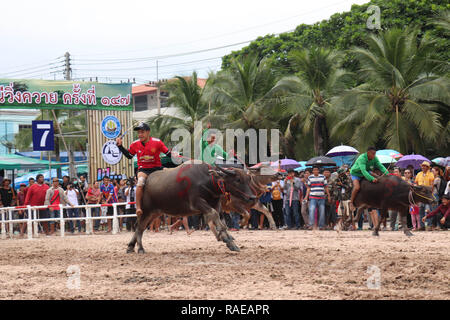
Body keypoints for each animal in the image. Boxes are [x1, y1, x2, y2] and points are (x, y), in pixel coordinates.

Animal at [126, 161, 255, 254]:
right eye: (238, 179)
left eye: (249, 179)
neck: (206, 181)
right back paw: (140, 248)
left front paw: (230, 242)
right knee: (139, 227)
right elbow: (214, 215)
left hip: (155, 213)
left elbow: (220, 219)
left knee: (141, 227)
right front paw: (227, 239)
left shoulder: (216, 204)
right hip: (145, 211)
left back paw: (130, 247)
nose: (252, 197)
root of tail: (144, 183)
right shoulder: (197, 203)